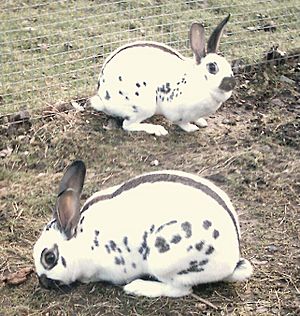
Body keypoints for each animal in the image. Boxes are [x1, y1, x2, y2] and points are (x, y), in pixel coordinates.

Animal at [33, 162, 253, 298]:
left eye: (49, 258)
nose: (43, 283)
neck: (80, 242)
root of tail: (233, 261)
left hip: (165, 260)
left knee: (182, 289)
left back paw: (138, 288)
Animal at [89, 13, 234, 136]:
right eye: (212, 67)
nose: (232, 83)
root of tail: (103, 99)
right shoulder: (176, 112)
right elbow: (182, 123)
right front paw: (192, 128)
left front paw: (202, 122)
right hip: (143, 107)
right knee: (128, 125)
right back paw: (158, 129)